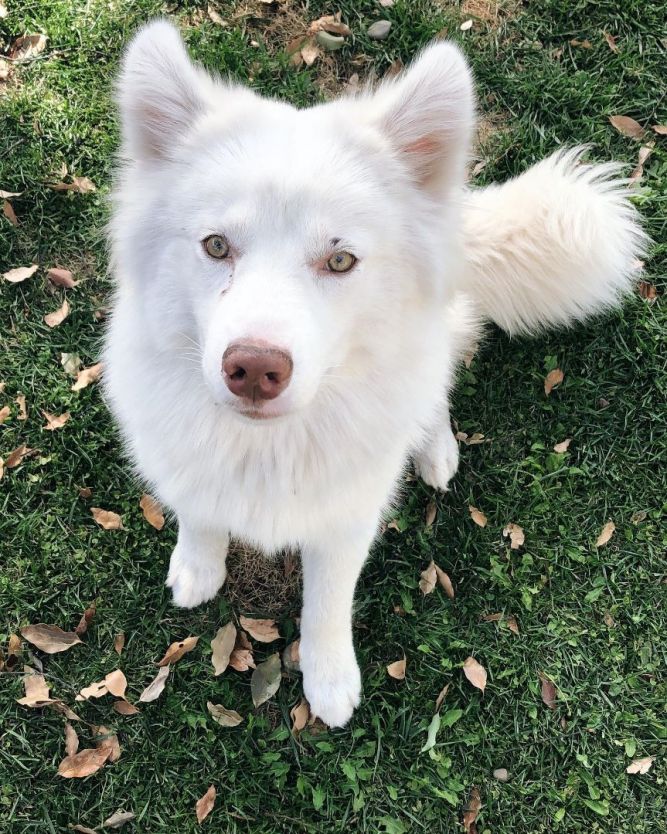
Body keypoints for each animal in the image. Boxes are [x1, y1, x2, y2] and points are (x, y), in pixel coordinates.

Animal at [104, 17, 648, 720]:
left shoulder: (347, 519)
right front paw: (200, 567)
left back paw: (435, 449)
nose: (252, 367)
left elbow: (327, 602)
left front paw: (329, 679)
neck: (269, 448)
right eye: (216, 246)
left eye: (340, 261)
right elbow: (200, 514)